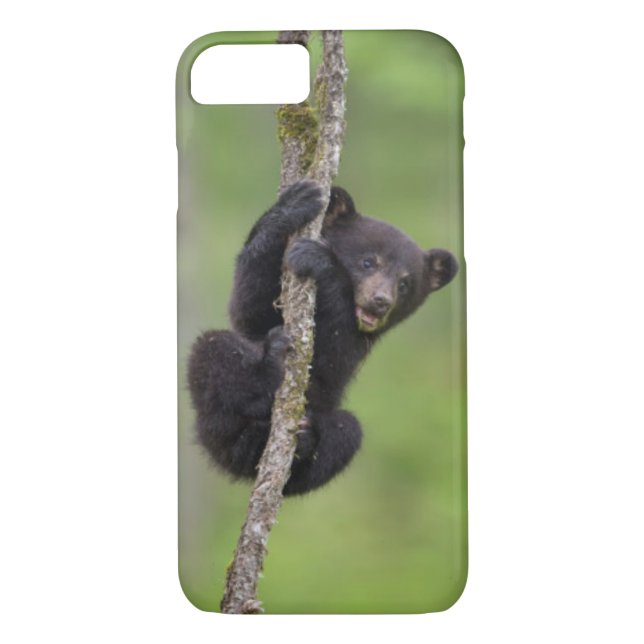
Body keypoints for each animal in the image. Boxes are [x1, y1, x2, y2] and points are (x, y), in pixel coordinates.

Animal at [187, 179, 458, 496]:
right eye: (368, 262)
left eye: (405, 283)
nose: (381, 301)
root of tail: (237, 463)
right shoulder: (261, 311)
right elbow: (248, 307)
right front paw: (294, 204)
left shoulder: (356, 345)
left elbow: (332, 358)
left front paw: (320, 260)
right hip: (215, 425)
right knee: (215, 348)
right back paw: (266, 372)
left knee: (347, 432)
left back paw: (304, 441)